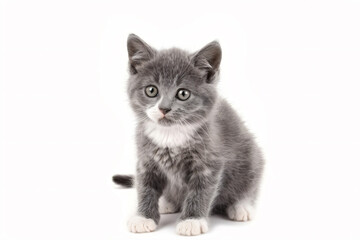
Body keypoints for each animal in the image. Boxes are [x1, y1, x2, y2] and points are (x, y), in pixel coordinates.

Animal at [113, 33, 264, 236]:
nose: (164, 108)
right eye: (151, 90)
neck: (171, 134)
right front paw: (143, 217)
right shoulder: (145, 159)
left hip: (251, 157)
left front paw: (192, 220)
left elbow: (201, 191)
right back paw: (167, 202)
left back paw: (241, 206)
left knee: (249, 184)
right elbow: (145, 187)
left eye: (183, 93)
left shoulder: (210, 161)